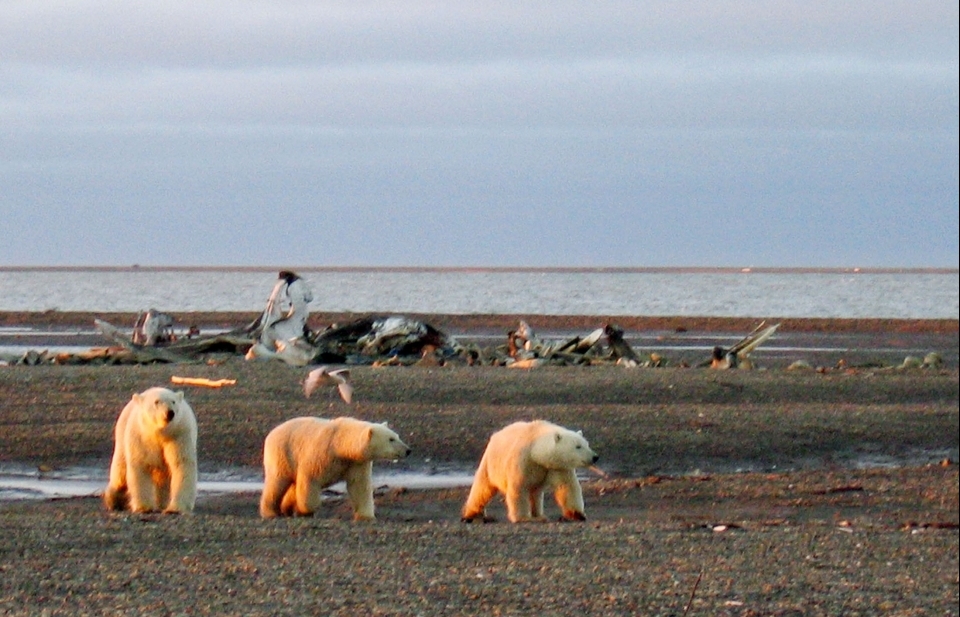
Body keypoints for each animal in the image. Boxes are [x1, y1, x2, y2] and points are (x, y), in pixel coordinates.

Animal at [260, 414, 410, 520]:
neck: (339, 444)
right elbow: (310, 480)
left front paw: (365, 516)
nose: (408, 450)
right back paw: (271, 512)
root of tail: (271, 433)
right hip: (283, 454)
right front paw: (306, 510)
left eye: (397, 436)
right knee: (277, 482)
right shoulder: (320, 454)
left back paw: (287, 508)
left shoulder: (355, 463)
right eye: (391, 439)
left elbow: (359, 486)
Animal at [462, 416, 596, 524]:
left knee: (535, 493)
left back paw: (539, 515)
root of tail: (496, 435)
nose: (595, 457)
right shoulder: (523, 459)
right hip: (491, 462)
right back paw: (472, 515)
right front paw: (524, 518)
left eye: (587, 444)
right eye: (578, 446)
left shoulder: (557, 466)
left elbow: (567, 486)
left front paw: (577, 515)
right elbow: (519, 487)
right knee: (482, 488)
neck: (536, 449)